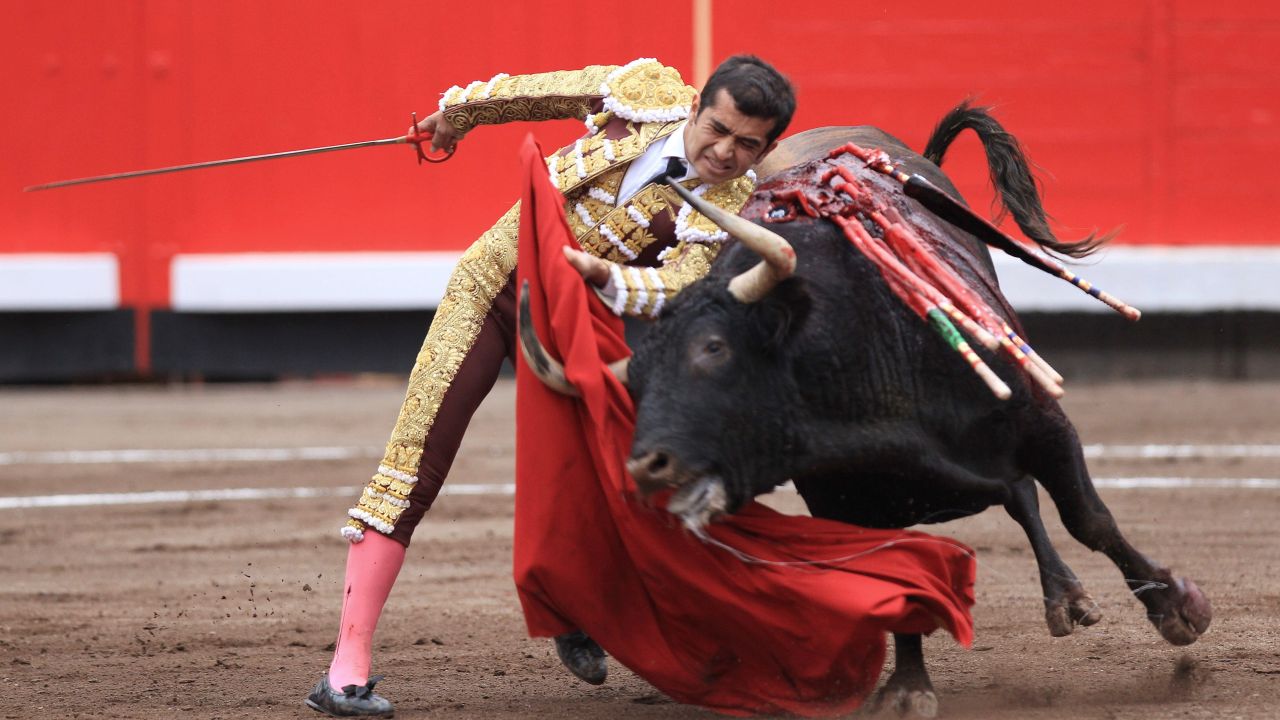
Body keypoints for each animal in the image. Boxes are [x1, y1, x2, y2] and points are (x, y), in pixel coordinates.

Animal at [521, 103, 1211, 716]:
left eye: (714, 350)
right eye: (637, 380)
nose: (647, 466)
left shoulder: (1044, 421)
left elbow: (1087, 517)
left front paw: (1176, 608)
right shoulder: (848, 502)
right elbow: (897, 579)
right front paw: (907, 689)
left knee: (1040, 501)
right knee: (1015, 495)